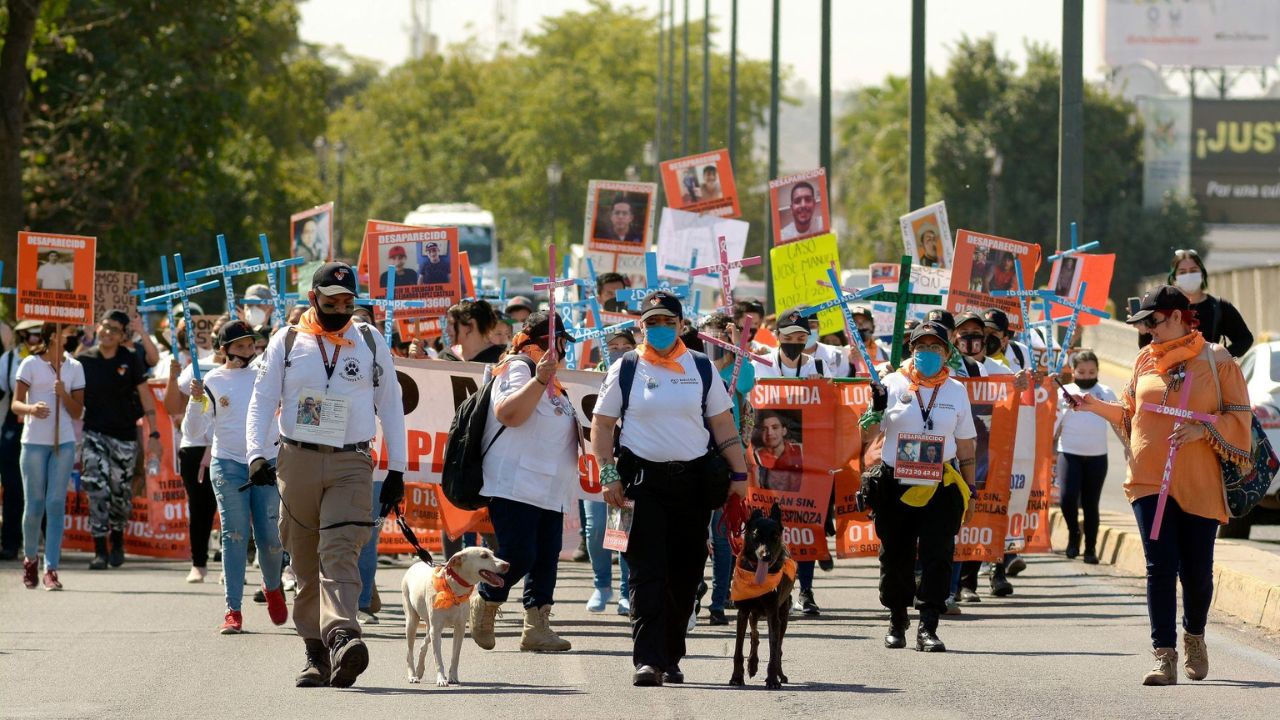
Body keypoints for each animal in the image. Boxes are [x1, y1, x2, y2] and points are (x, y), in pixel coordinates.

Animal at [399, 543, 509, 681]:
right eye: (484, 556)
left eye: (493, 553)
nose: (507, 565)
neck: (454, 590)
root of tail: (415, 565)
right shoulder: (436, 630)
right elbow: (438, 658)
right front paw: (441, 679)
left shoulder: (459, 629)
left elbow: (455, 656)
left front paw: (453, 677)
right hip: (412, 622)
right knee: (409, 652)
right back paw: (412, 675)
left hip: (430, 627)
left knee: (423, 645)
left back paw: (419, 670)